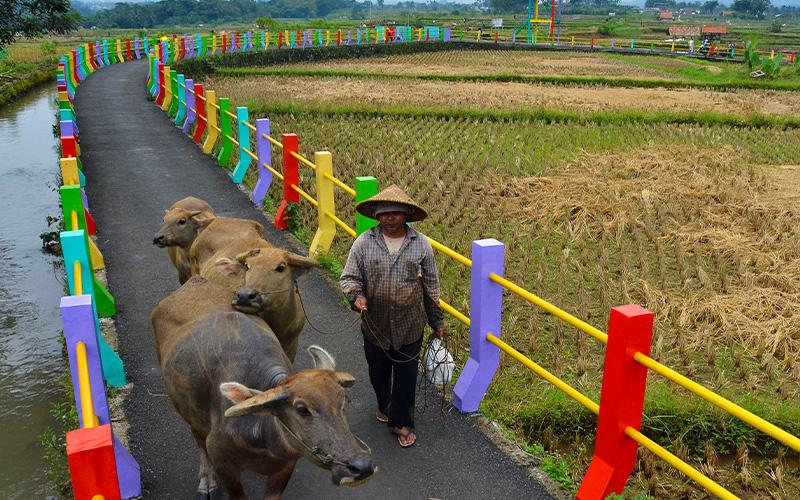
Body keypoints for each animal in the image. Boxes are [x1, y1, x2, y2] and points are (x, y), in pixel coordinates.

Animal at [151, 302, 376, 498]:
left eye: (344, 401)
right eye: (302, 409)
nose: (361, 467)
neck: (263, 439)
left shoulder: (285, 468)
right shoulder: (224, 465)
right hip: (189, 415)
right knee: (198, 439)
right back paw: (207, 482)